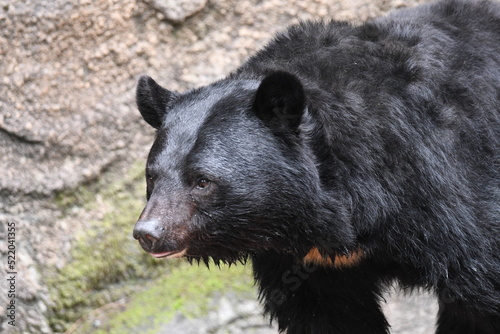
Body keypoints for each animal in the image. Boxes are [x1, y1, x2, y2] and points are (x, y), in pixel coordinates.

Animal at [133, 1, 500, 332]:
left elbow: (480, 283)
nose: (148, 233)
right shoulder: (311, 266)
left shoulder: (444, 185)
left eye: (202, 180)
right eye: (152, 177)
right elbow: (327, 316)